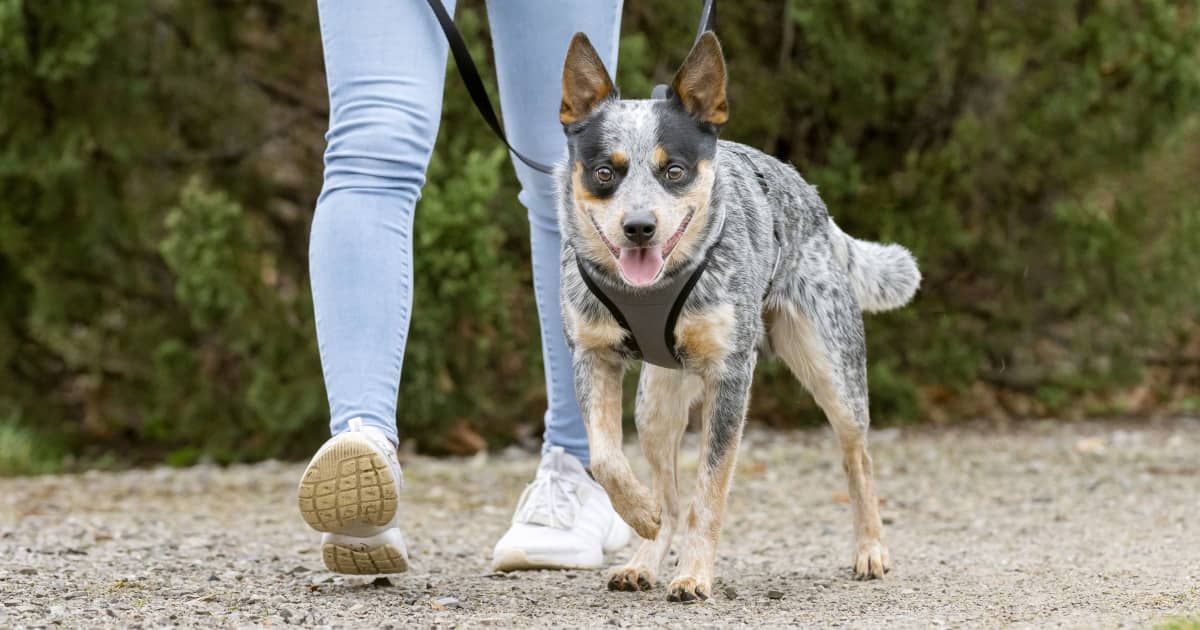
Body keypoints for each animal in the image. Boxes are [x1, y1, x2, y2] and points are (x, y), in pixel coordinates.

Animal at [552, 31, 916, 602]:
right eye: (605, 172)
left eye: (674, 171)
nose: (639, 227)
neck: (650, 288)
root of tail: (815, 202)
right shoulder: (592, 355)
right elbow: (606, 458)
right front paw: (641, 516)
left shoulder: (730, 376)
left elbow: (710, 490)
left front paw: (695, 574)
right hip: (655, 404)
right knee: (667, 489)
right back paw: (644, 558)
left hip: (833, 372)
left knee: (858, 457)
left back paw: (870, 549)